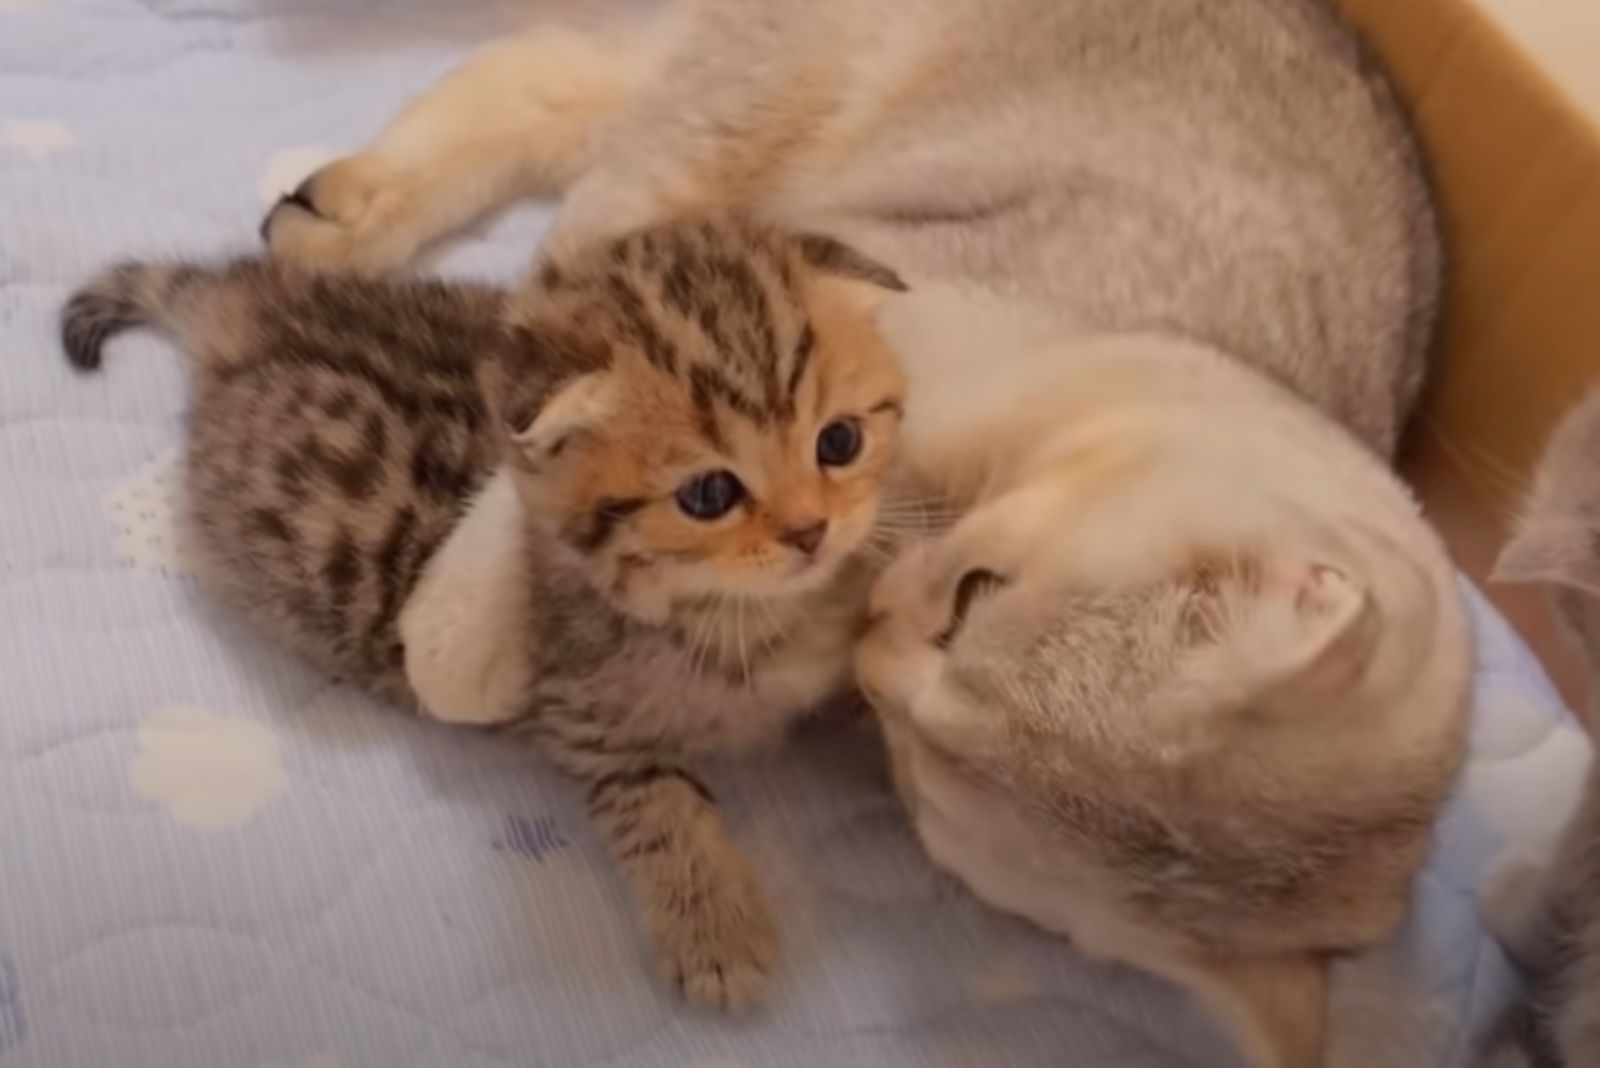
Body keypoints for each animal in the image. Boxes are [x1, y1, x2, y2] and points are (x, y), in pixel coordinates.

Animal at [59, 214, 915, 1010]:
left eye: (839, 442)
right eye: (709, 494)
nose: (810, 532)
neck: (750, 615)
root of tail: (259, 312)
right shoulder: (587, 719)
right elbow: (658, 805)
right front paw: (715, 931)